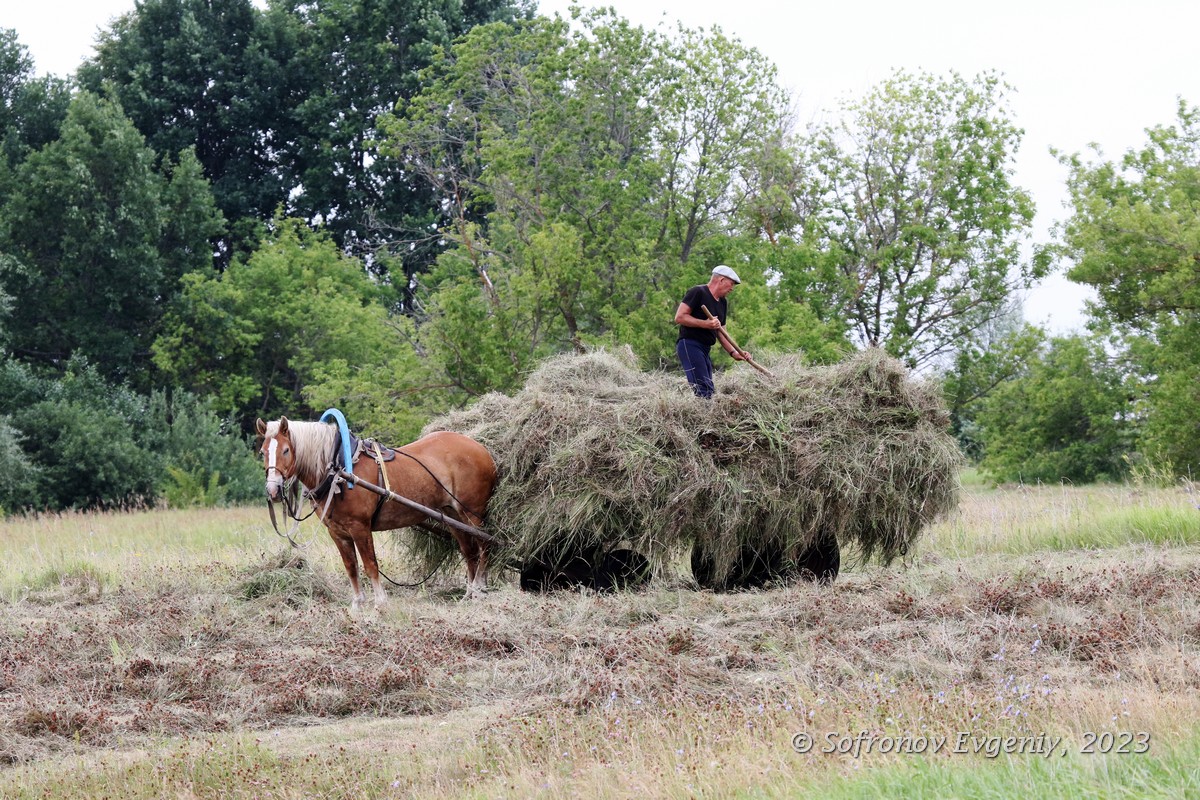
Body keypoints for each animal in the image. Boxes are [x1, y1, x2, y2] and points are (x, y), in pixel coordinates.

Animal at [253, 419, 496, 606]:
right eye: (262, 451)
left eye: (286, 450)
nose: (273, 490)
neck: (339, 471)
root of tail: (482, 449)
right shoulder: (337, 533)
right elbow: (351, 567)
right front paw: (357, 604)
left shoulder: (360, 528)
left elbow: (370, 565)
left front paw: (380, 603)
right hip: (453, 517)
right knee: (469, 553)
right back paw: (468, 594)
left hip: (473, 514)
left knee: (484, 546)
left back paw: (480, 589)